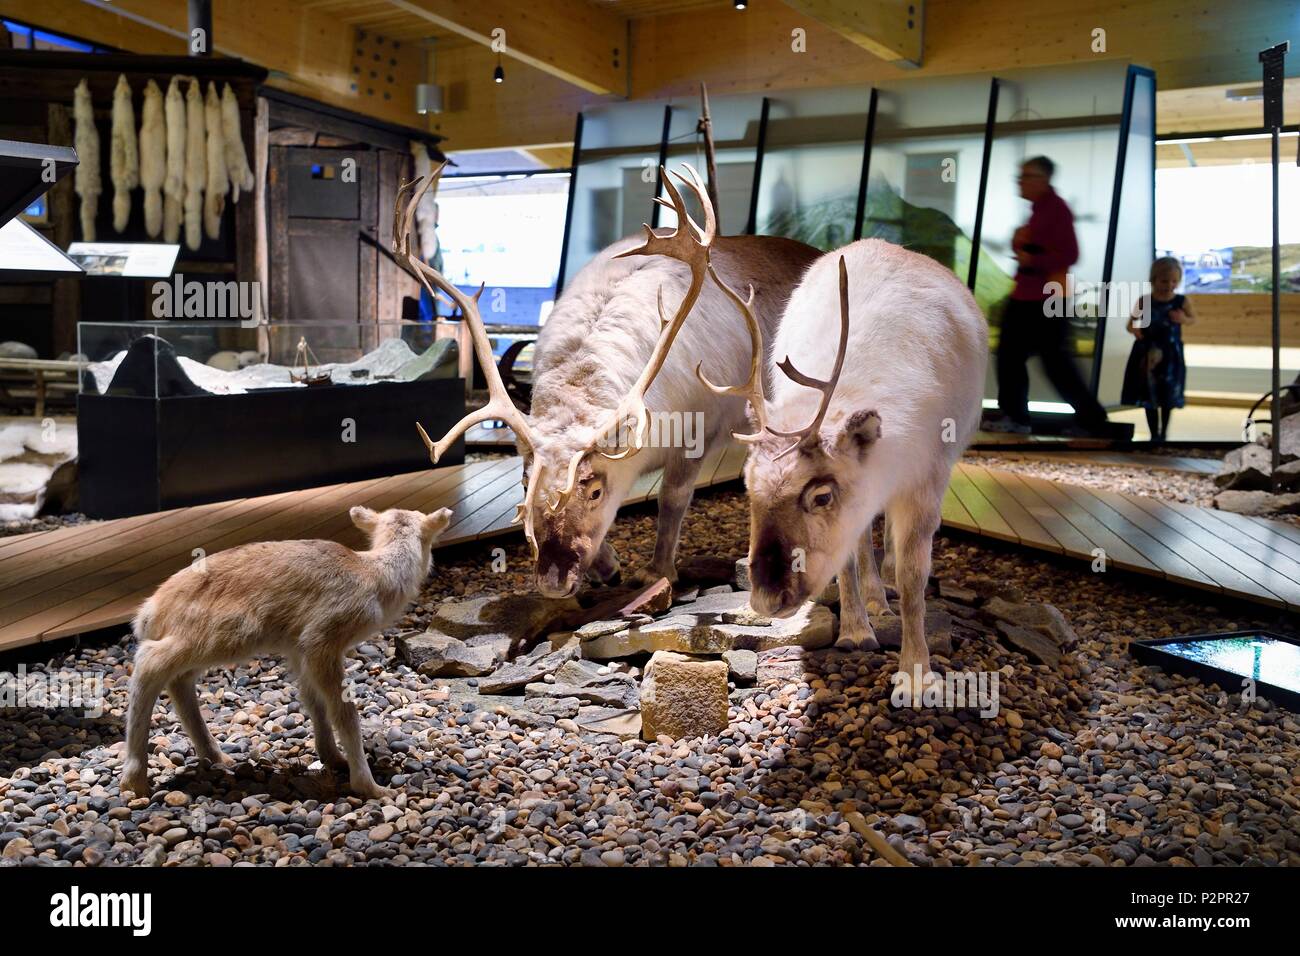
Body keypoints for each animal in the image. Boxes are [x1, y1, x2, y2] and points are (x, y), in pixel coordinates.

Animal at [122, 509, 454, 801]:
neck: (374, 575)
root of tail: (149, 612)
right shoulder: (321, 639)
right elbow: (344, 712)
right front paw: (371, 786)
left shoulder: (297, 649)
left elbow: (314, 701)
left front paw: (333, 757)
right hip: (221, 635)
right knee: (150, 662)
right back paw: (134, 780)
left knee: (179, 680)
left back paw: (217, 757)